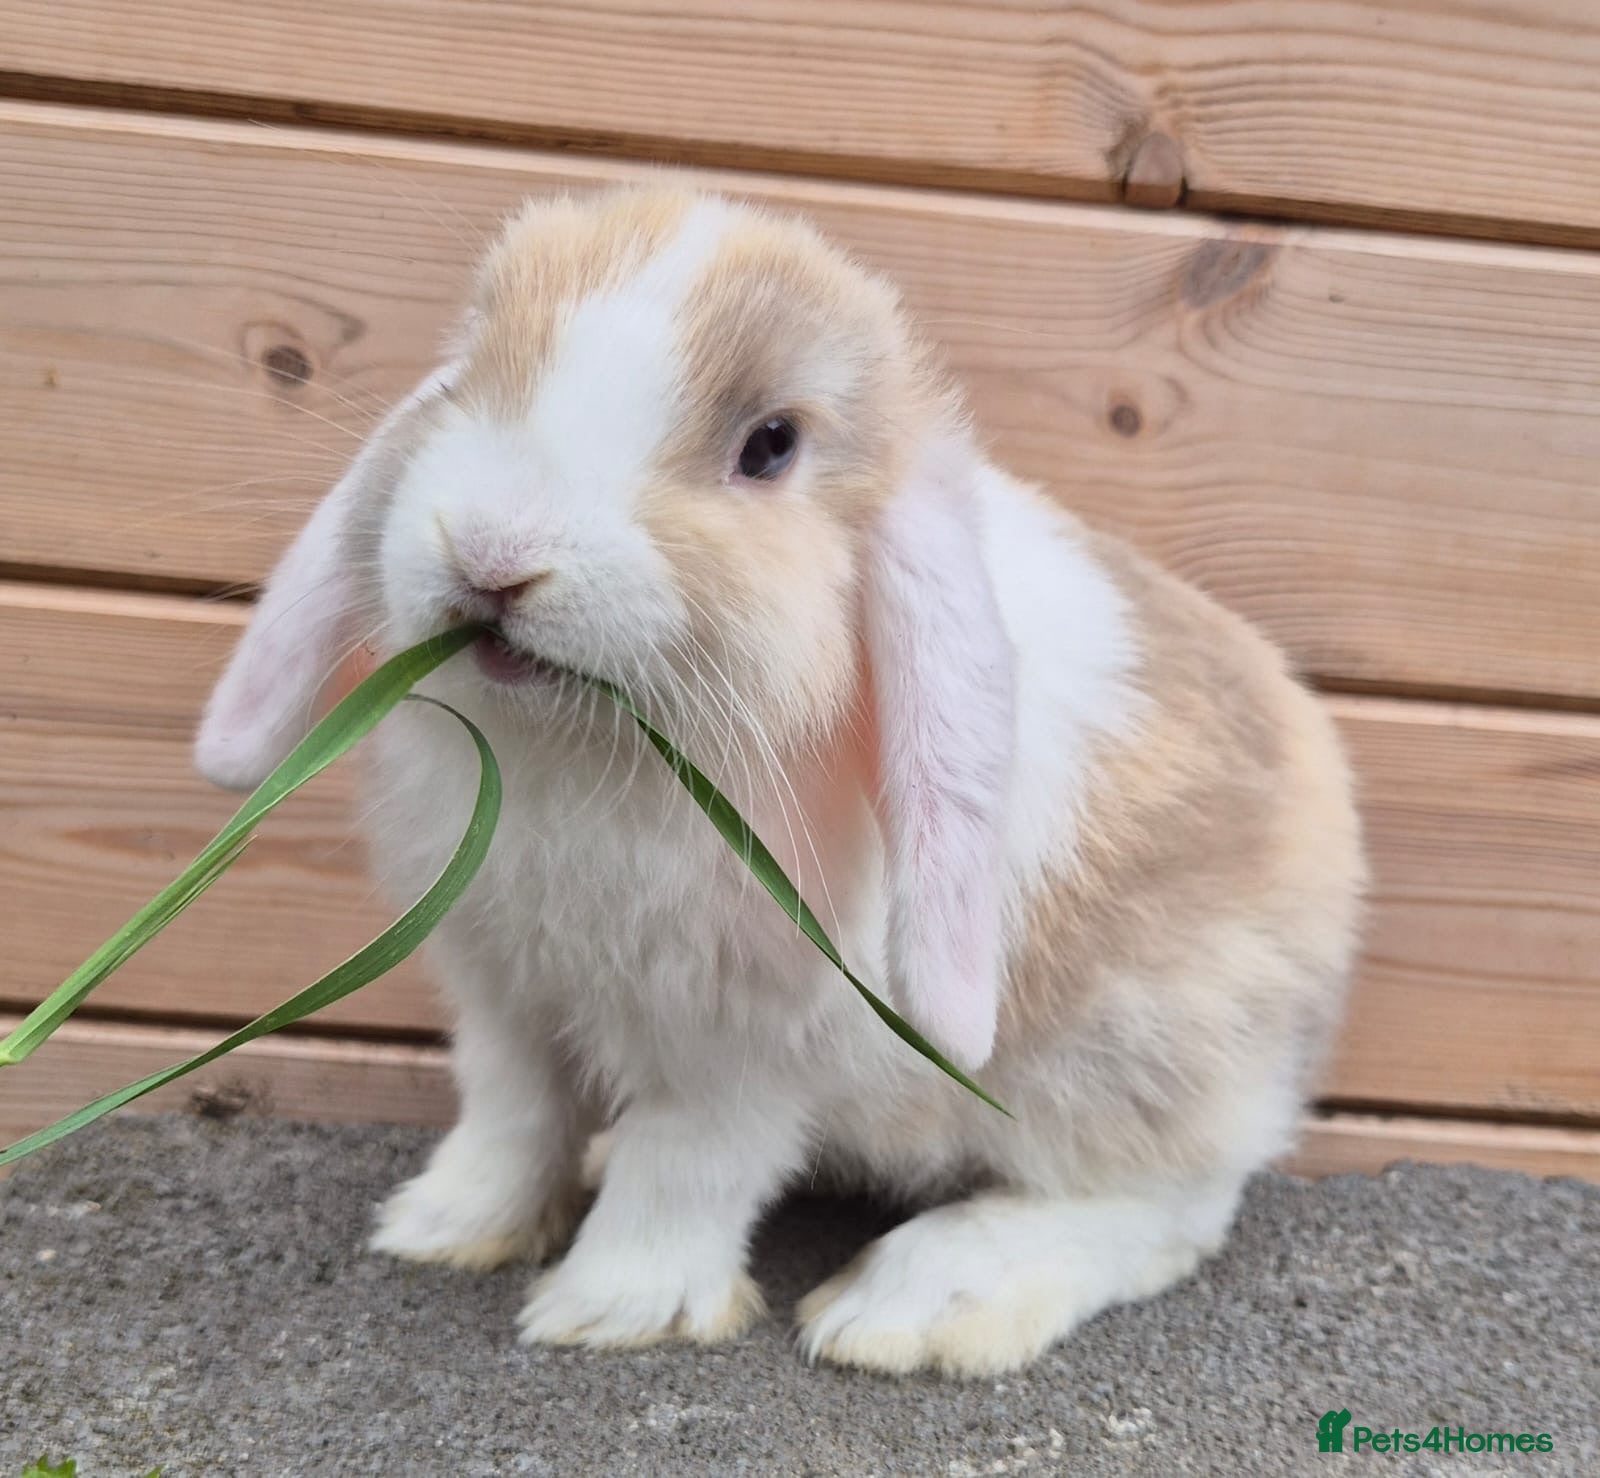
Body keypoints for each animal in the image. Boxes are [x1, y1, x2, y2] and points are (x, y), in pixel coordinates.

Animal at [194, 185, 1365, 1376]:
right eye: (474, 364)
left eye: (770, 445)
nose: (493, 553)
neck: (583, 754)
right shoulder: (508, 994)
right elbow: (513, 1119)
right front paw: (443, 1226)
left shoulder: (737, 1052)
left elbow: (683, 1169)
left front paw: (611, 1308)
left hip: (1125, 1059)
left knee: (1166, 1204)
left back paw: (915, 1306)